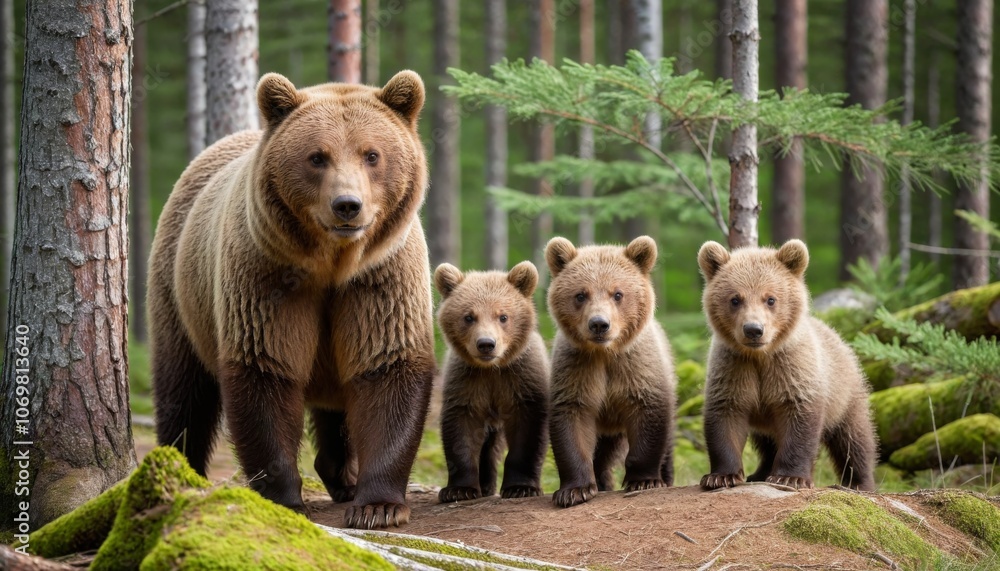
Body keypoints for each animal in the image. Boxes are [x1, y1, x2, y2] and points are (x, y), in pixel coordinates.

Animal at [147, 71, 436, 529]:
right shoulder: (266, 275)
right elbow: (266, 367)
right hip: (178, 290)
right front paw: (284, 498)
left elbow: (386, 366)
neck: (332, 265)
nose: (347, 205)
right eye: (317, 157)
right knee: (183, 388)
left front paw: (378, 505)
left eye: (371, 154)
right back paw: (179, 463)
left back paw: (342, 475)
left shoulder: (379, 280)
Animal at [433, 262, 550, 502]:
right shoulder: (467, 383)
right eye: (469, 316)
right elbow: (461, 431)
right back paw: (485, 485)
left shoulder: (520, 380)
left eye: (503, 316)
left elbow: (528, 431)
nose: (486, 344)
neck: (492, 369)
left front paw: (521, 487)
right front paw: (458, 489)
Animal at [544, 236, 677, 508]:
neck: (604, 354)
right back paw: (603, 480)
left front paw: (643, 480)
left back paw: (665, 476)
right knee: (604, 451)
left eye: (617, 293)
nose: (599, 324)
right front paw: (574, 490)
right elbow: (571, 422)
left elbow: (649, 414)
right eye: (580, 294)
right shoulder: (577, 370)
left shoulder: (636, 368)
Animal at [696, 239, 878, 491]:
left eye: (770, 298)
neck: (761, 356)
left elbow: (799, 420)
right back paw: (760, 472)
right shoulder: (734, 369)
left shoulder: (792, 370)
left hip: (845, 395)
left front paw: (790, 477)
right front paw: (720, 476)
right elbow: (725, 417)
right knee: (766, 441)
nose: (753, 329)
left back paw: (859, 483)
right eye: (735, 299)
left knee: (854, 439)